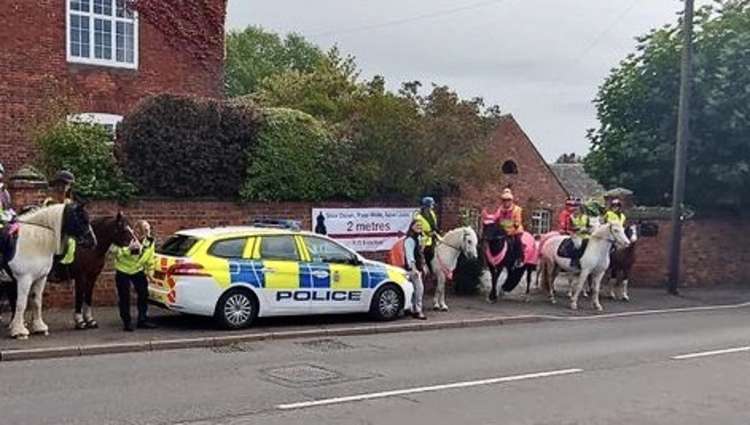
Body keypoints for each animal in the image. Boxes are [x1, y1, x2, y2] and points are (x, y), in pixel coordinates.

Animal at [6, 202, 96, 338]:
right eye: (81, 219)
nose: (93, 241)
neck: (34, 242)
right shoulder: (24, 279)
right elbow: (21, 303)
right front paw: (19, 331)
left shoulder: (40, 278)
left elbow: (37, 301)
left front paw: (39, 327)